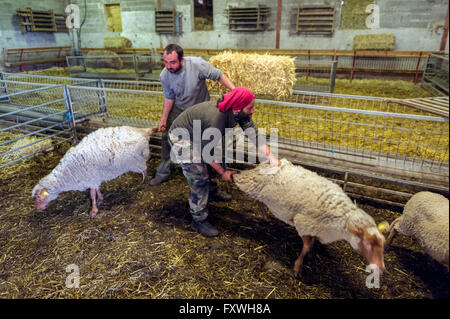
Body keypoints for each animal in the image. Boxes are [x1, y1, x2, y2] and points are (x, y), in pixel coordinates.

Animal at [232, 160, 386, 278]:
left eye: (382, 244)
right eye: (368, 244)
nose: (381, 268)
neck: (343, 216)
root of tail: (263, 164)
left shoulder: (317, 228)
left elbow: (313, 243)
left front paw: (311, 254)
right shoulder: (303, 224)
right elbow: (306, 246)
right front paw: (298, 267)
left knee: (260, 201)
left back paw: (265, 217)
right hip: (251, 184)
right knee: (255, 197)